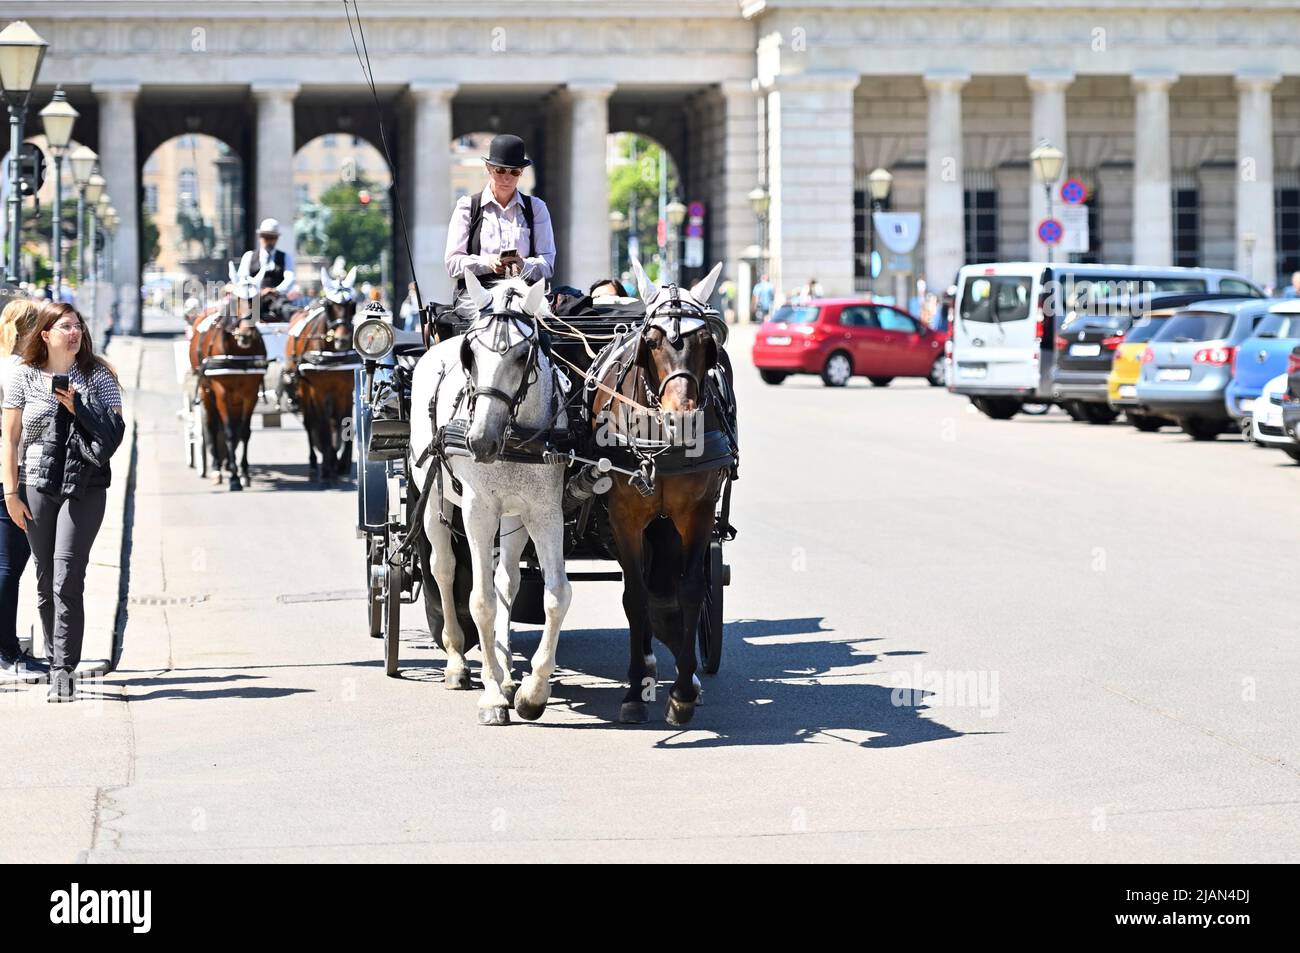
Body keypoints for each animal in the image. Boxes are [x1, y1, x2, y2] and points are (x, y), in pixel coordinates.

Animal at [405, 271, 569, 722]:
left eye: (522, 355)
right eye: (471, 354)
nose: (480, 442)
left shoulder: (544, 512)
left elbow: (554, 596)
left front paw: (532, 690)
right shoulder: (478, 511)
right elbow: (480, 601)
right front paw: (493, 694)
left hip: (513, 517)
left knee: (506, 580)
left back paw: (508, 670)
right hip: (435, 499)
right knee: (443, 568)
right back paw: (459, 662)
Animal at [590, 260, 733, 722]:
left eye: (707, 342)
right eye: (651, 342)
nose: (681, 418)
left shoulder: (698, 513)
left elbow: (690, 590)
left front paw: (684, 692)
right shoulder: (623, 516)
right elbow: (634, 596)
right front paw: (635, 692)